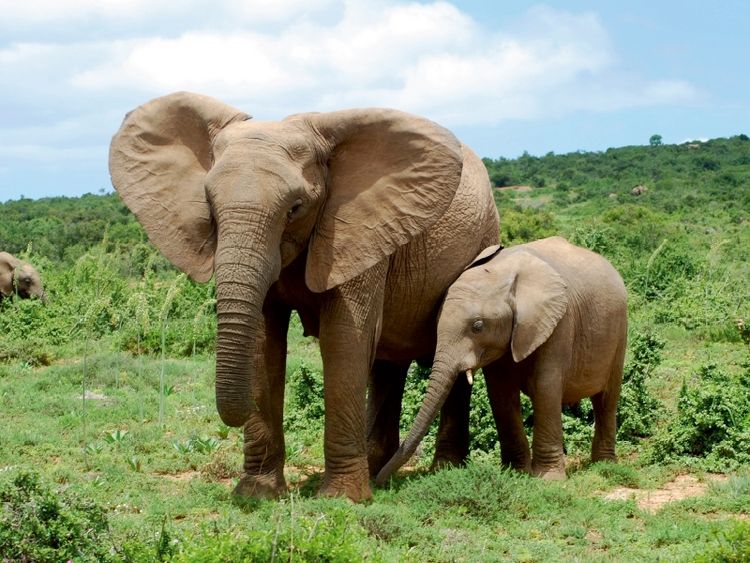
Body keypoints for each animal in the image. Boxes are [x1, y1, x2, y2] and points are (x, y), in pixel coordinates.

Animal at [109, 92, 500, 501]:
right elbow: (263, 342)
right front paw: (257, 493)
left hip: (482, 239)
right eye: (209, 206)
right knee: (386, 363)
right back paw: (378, 470)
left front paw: (341, 499)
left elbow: (343, 339)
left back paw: (442, 470)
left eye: (295, 208)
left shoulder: (355, 230)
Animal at [376, 236, 627, 485]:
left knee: (607, 399)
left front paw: (548, 481)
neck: (503, 272)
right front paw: (516, 473)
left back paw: (604, 464)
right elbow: (501, 393)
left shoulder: (560, 323)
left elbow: (545, 387)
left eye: (478, 326)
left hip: (620, 331)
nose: (380, 482)